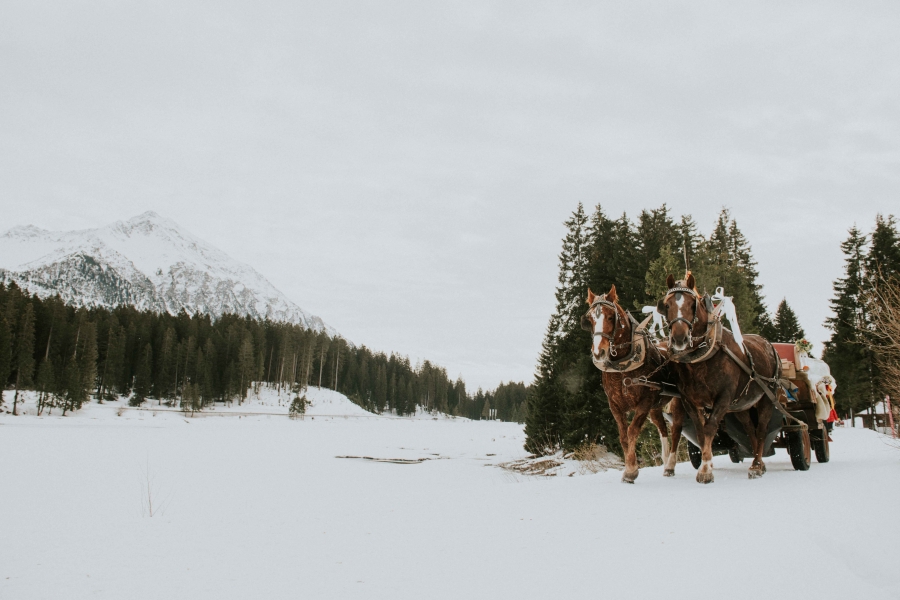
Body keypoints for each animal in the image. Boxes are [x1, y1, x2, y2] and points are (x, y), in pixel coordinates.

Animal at [584, 284, 684, 482]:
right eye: (590, 319)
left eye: (610, 316)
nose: (599, 352)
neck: (622, 368)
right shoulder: (615, 405)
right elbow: (623, 436)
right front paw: (629, 467)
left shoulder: (644, 403)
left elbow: (632, 431)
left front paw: (631, 470)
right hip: (655, 408)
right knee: (662, 429)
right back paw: (665, 460)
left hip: (676, 401)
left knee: (676, 429)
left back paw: (670, 465)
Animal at [652, 274, 780, 486]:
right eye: (667, 305)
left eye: (692, 304)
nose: (679, 338)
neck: (700, 359)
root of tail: (769, 345)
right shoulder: (689, 401)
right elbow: (700, 432)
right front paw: (707, 464)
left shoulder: (723, 398)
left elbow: (710, 428)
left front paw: (705, 471)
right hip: (741, 406)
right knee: (750, 429)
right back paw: (759, 463)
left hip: (766, 399)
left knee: (761, 430)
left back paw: (756, 465)